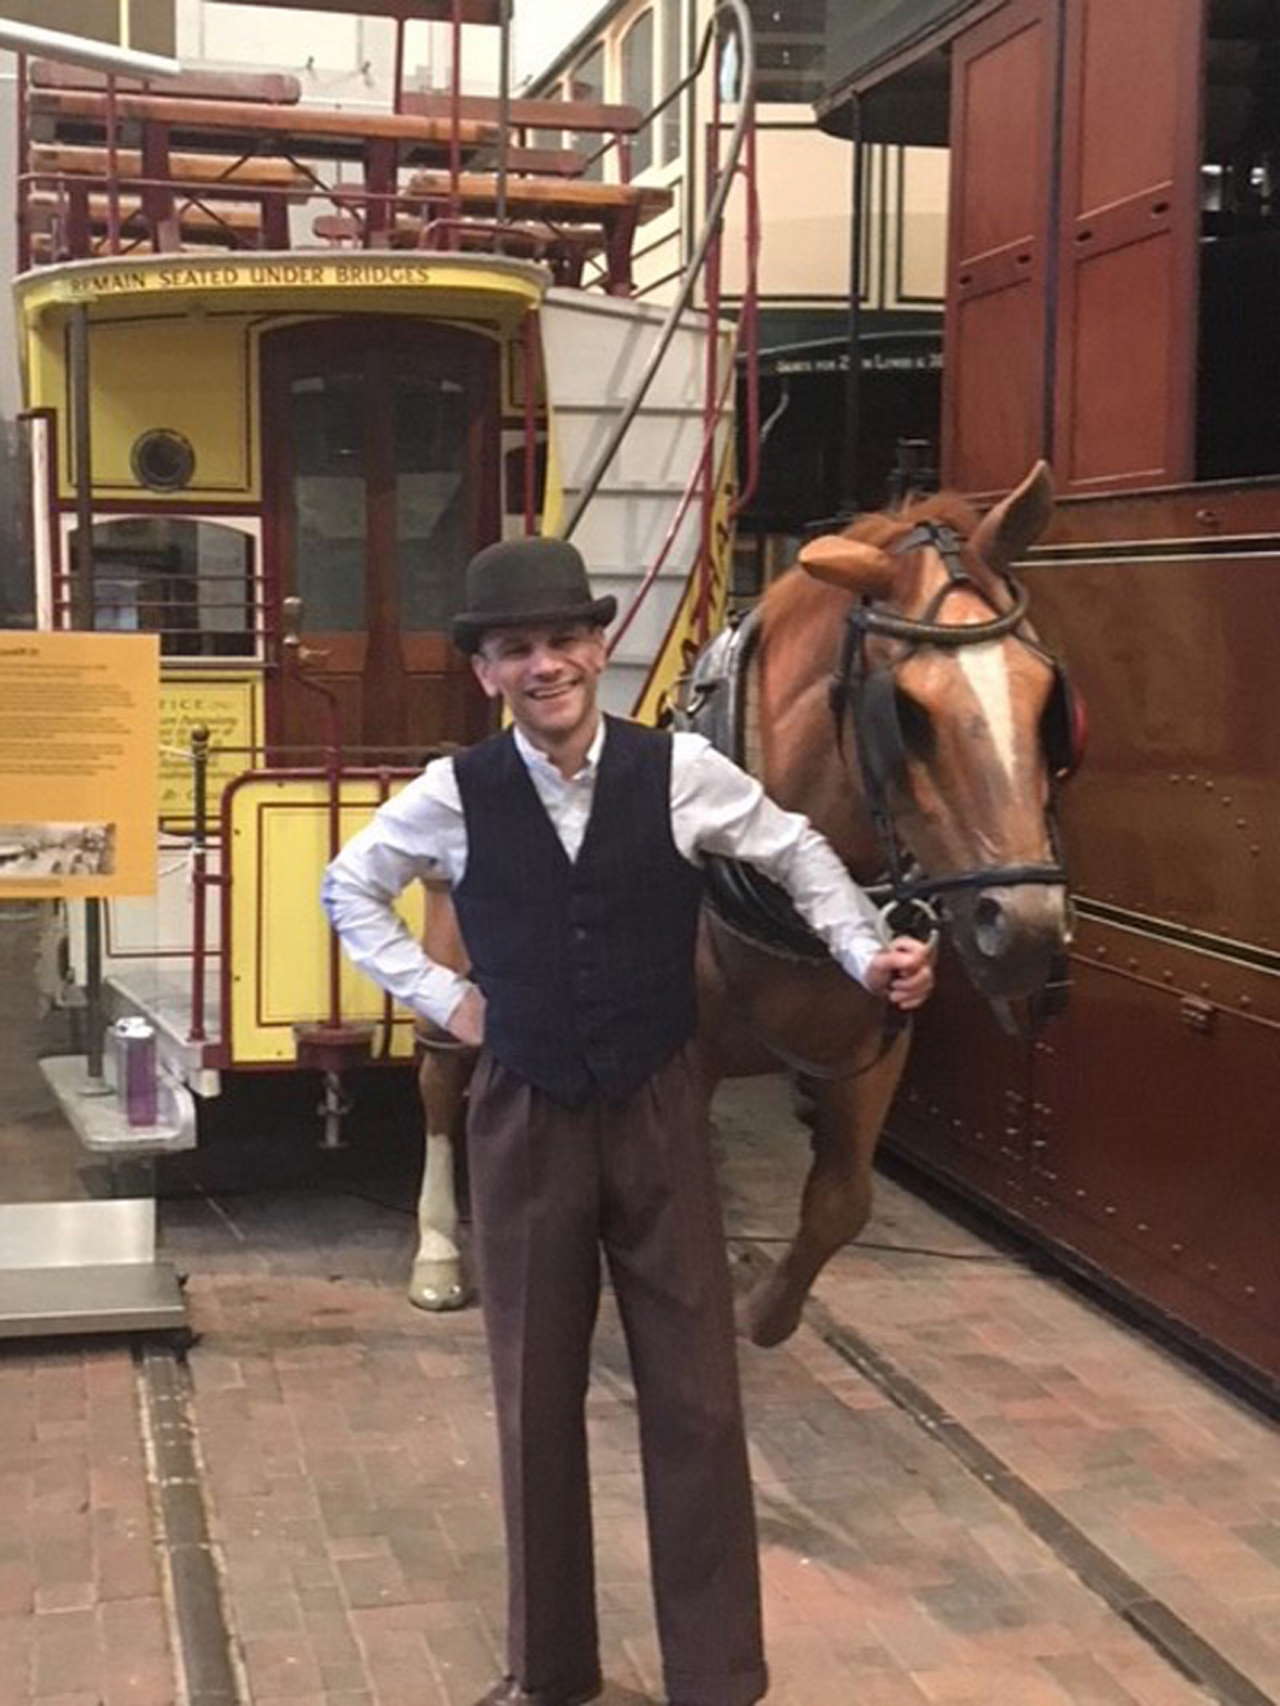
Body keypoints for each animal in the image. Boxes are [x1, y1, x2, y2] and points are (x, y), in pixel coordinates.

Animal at [406, 467, 1078, 1344]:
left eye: (1048, 699)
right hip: (449, 990)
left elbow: (842, 1202)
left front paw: (763, 1315)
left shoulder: (874, 1053)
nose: (1024, 927)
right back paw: (437, 1258)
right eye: (906, 712)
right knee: (440, 1092)